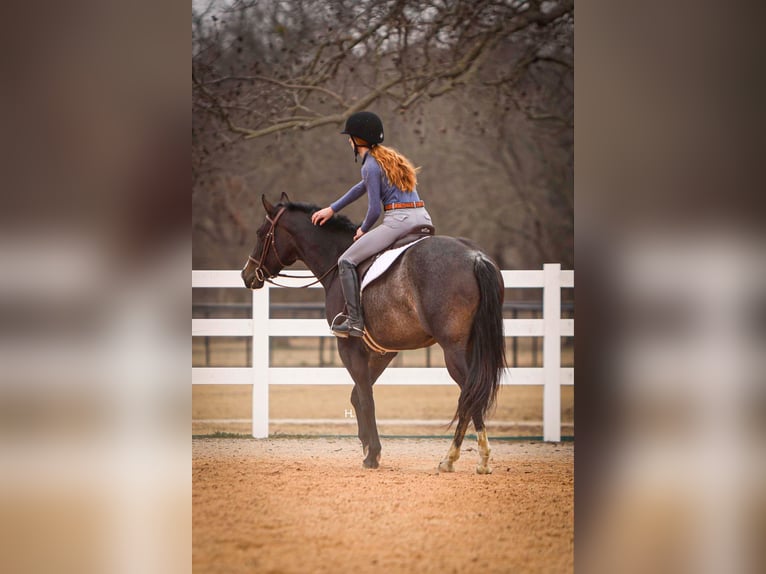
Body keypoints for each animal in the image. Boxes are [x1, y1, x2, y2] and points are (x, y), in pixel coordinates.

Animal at [243, 194, 508, 472]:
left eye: (261, 233)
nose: (246, 275)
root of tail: (475, 257)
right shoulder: (383, 352)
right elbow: (357, 396)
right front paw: (368, 446)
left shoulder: (349, 348)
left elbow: (365, 397)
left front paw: (372, 454)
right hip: (469, 347)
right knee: (470, 395)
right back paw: (462, 457)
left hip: (452, 350)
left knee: (469, 393)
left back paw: (465, 457)